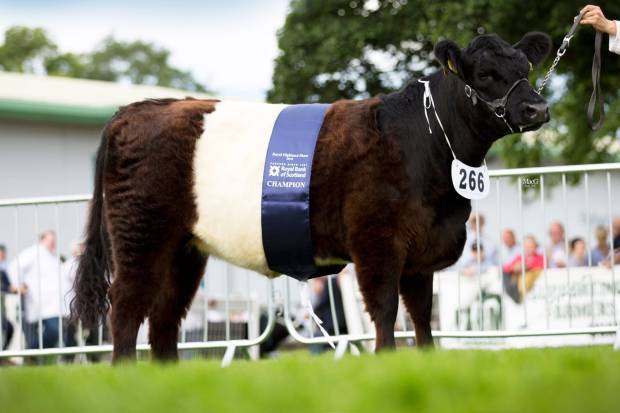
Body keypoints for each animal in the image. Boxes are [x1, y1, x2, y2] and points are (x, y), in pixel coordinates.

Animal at [71, 31, 552, 360]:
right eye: (485, 74)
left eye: (525, 70)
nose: (537, 108)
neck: (425, 140)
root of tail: (134, 110)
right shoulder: (376, 242)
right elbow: (384, 312)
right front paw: (387, 362)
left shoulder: (420, 252)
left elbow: (420, 315)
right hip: (140, 235)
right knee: (126, 312)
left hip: (184, 250)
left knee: (164, 320)